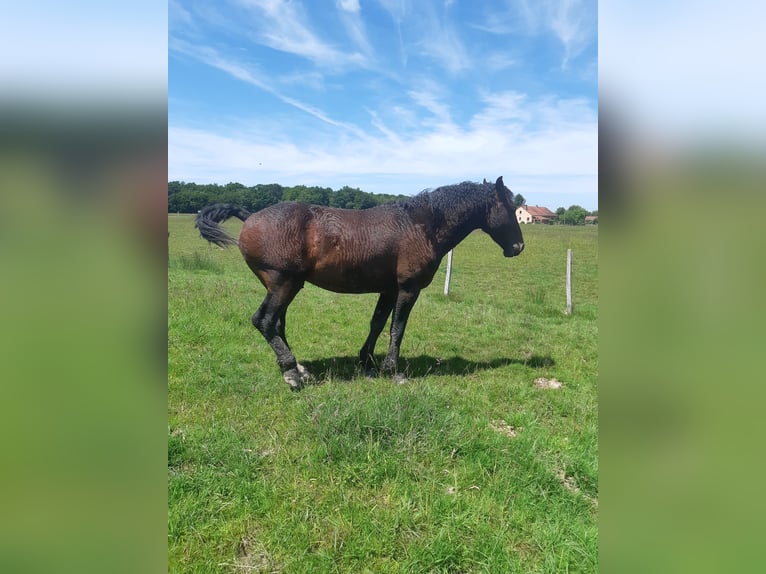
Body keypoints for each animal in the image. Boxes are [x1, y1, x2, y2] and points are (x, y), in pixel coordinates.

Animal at [195, 176, 524, 391]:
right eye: (510, 208)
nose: (518, 247)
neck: (421, 226)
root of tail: (250, 216)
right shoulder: (408, 289)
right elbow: (397, 329)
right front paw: (393, 371)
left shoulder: (389, 289)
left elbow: (377, 324)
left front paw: (366, 363)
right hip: (283, 284)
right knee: (263, 320)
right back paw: (291, 373)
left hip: (282, 286)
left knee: (276, 325)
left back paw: (299, 368)